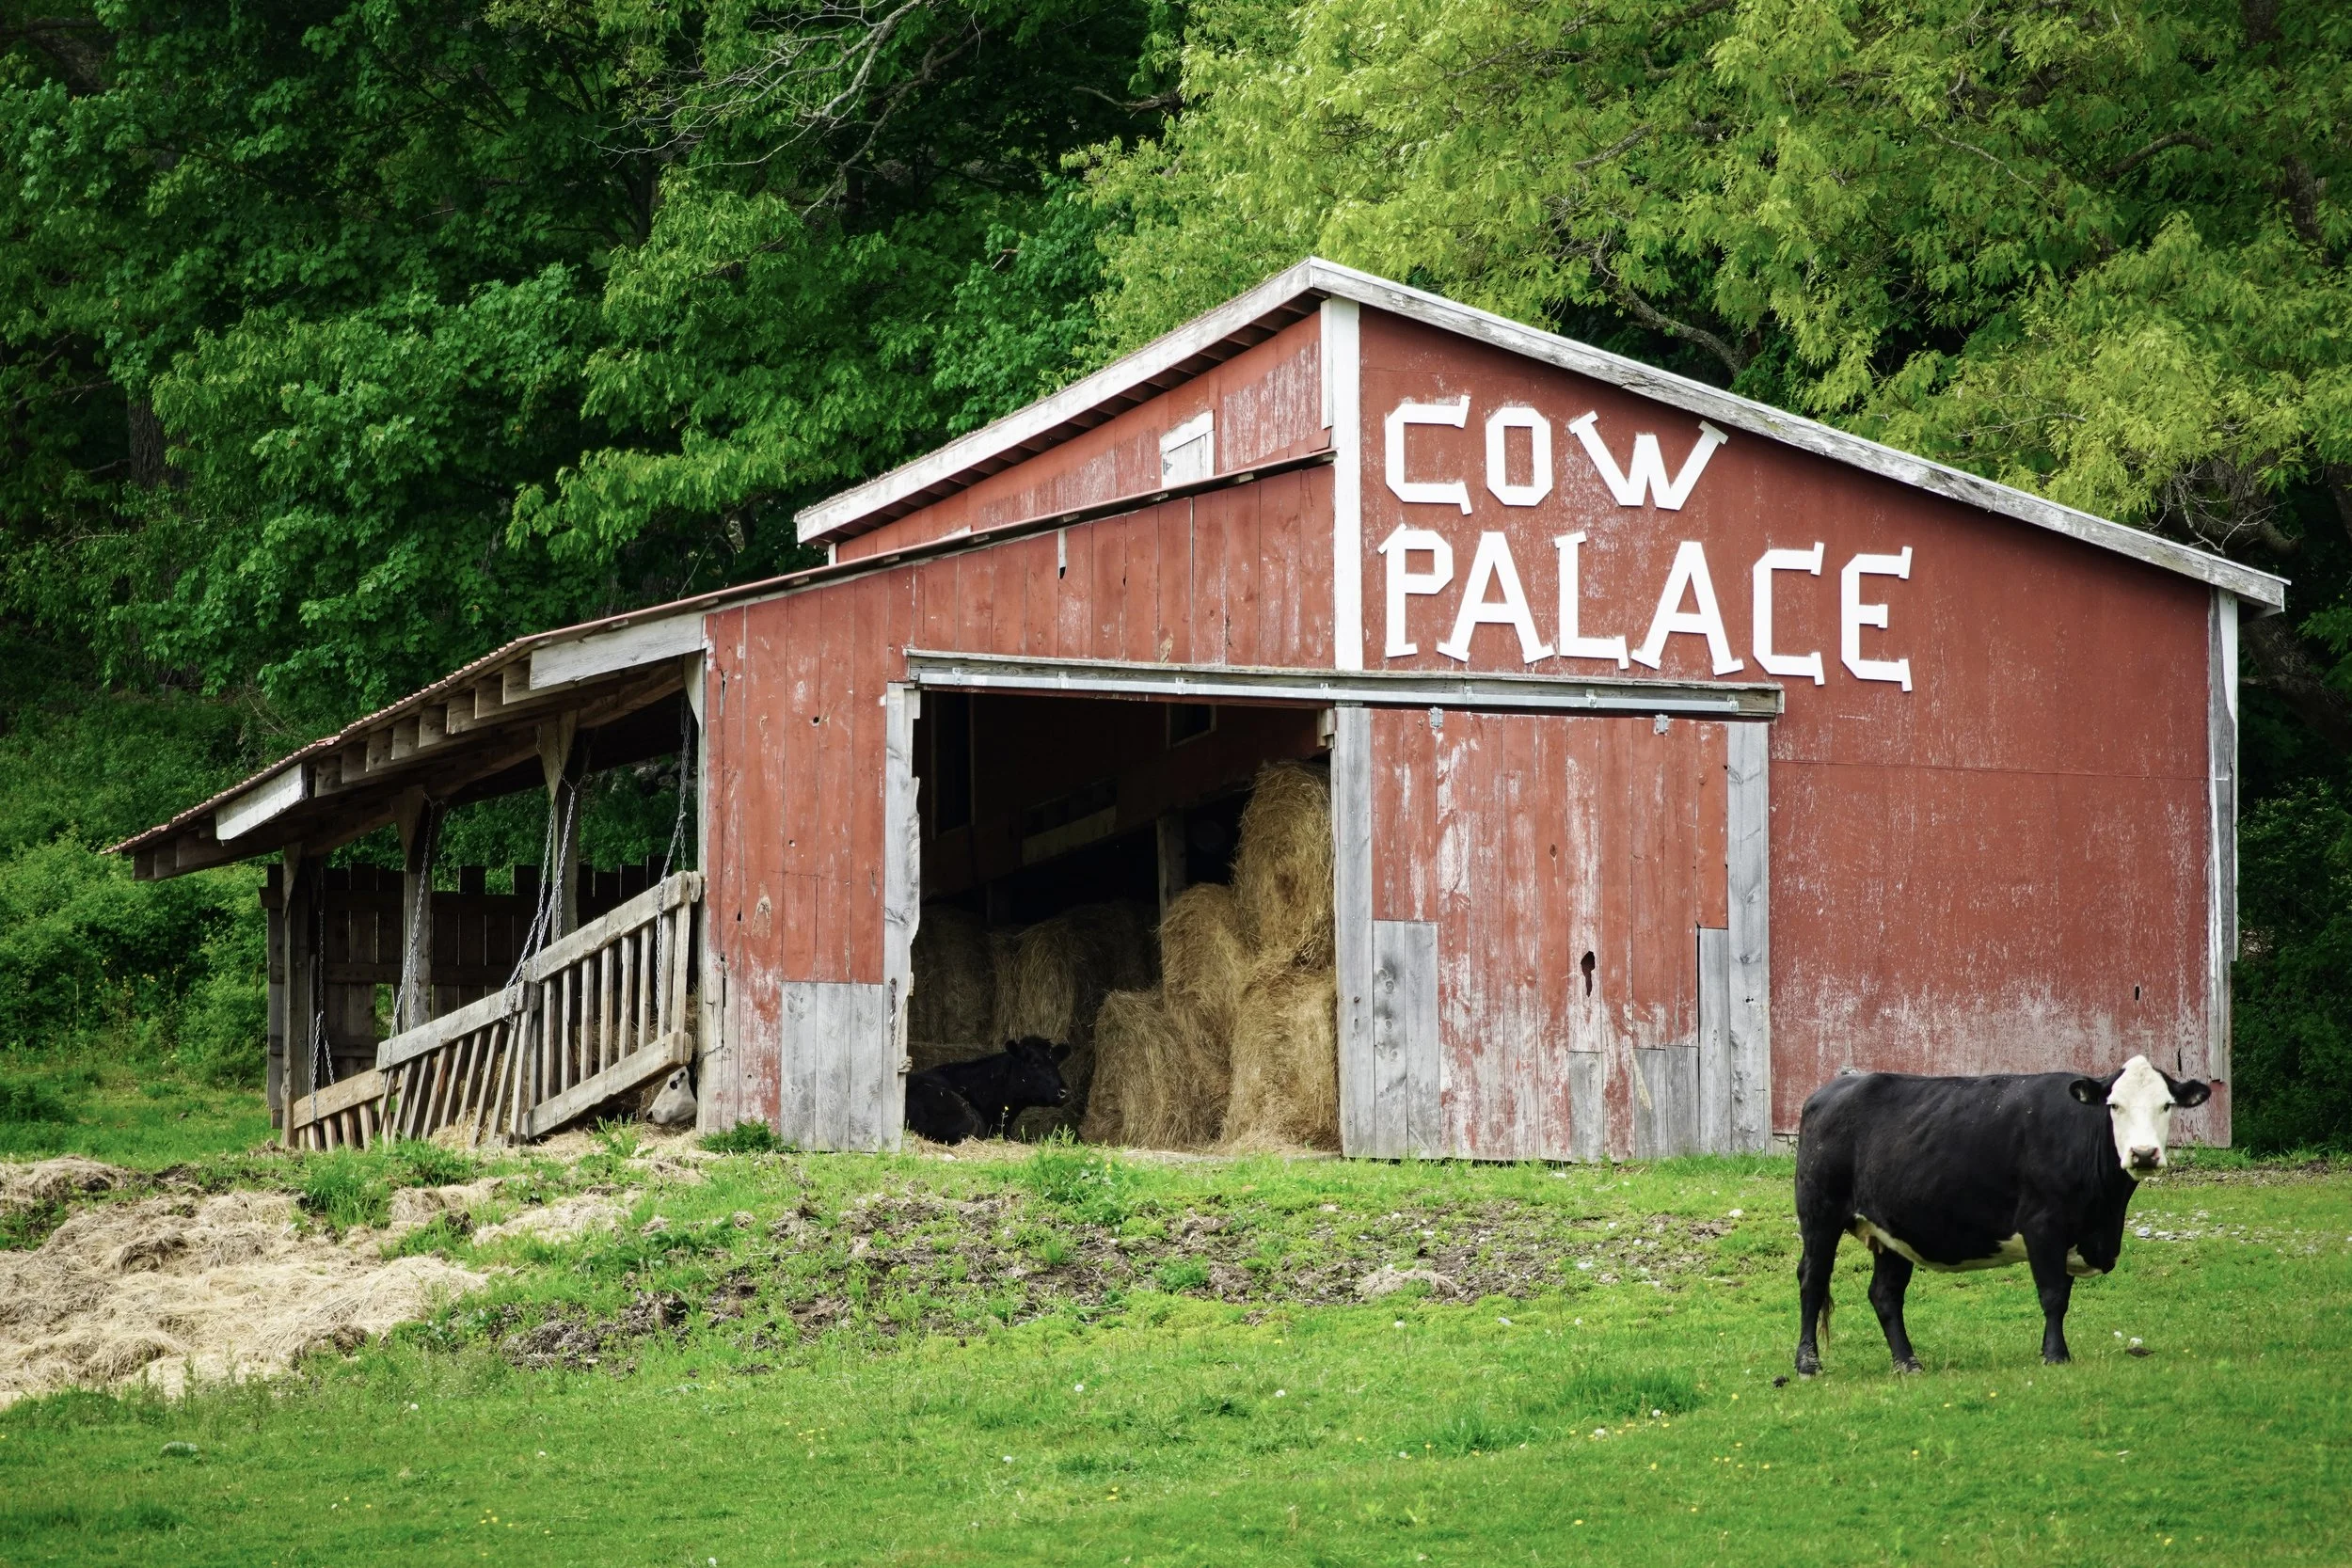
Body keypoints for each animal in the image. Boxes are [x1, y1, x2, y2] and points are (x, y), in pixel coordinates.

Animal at [1793, 1054, 2213, 1375]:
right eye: (2115, 1105)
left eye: (2166, 1105)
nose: (2143, 1154)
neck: (2105, 1215)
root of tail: (1832, 1088)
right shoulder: (2043, 1225)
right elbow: (2053, 1295)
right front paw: (2056, 1356)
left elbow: (2062, 1294)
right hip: (1819, 1214)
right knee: (1812, 1280)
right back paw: (1808, 1364)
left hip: (1893, 1231)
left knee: (1885, 1294)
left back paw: (1908, 1363)